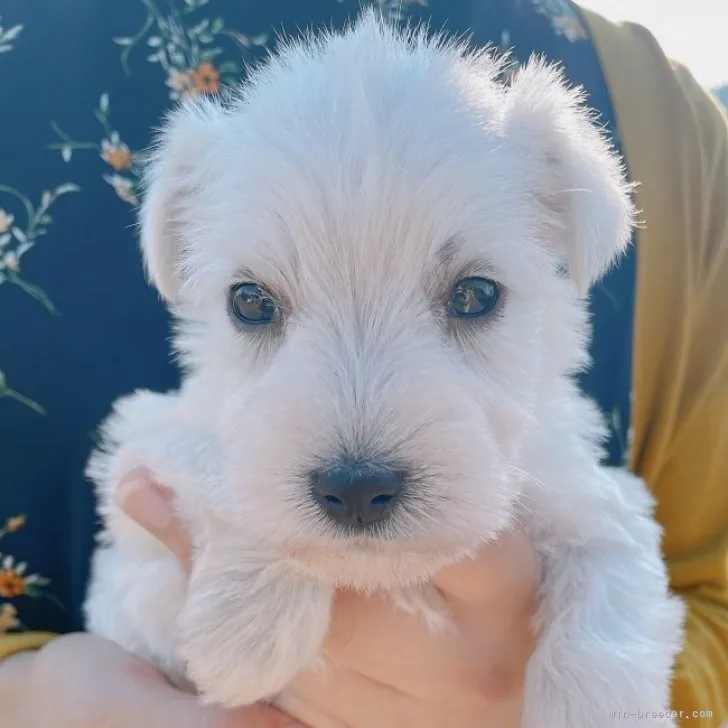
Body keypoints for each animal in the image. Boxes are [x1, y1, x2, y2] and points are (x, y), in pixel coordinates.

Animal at [84, 12, 684, 728]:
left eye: (476, 294)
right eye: (250, 302)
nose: (356, 489)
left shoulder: (576, 480)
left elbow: (610, 555)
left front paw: (594, 701)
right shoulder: (140, 448)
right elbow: (216, 464)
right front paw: (247, 631)